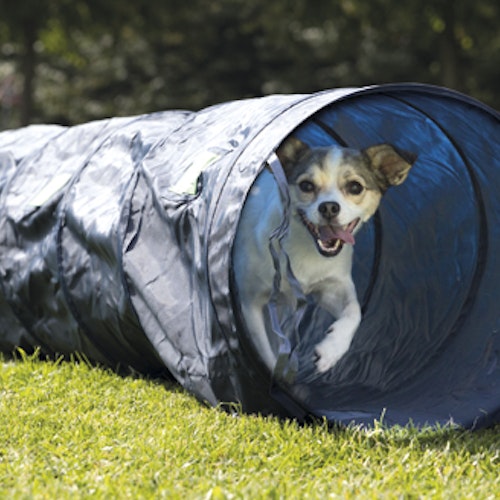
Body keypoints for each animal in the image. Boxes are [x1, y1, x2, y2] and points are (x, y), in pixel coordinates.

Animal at [233, 139, 414, 374]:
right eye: (306, 186)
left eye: (355, 187)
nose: (328, 207)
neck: (306, 249)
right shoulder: (251, 304)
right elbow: (266, 355)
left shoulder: (332, 288)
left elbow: (355, 311)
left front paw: (331, 349)